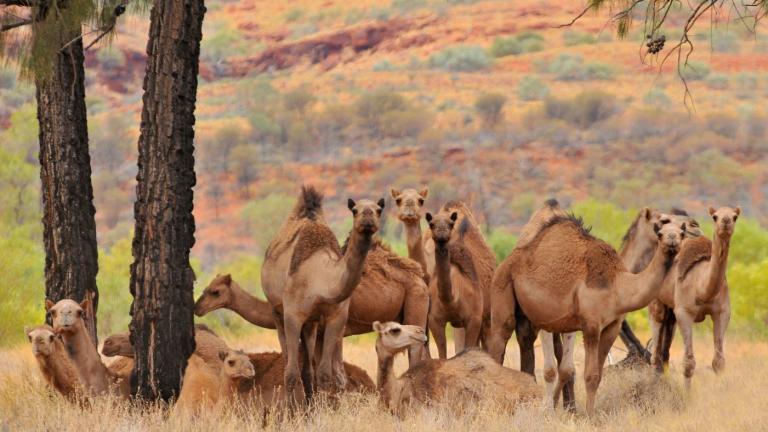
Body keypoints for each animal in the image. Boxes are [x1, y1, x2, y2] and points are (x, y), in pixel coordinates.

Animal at [260, 186, 384, 404]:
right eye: (355, 210)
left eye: (379, 210)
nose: (368, 219)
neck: (320, 279)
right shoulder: (292, 315)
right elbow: (290, 372)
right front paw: (290, 411)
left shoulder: (336, 317)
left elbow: (325, 373)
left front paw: (321, 409)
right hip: (276, 310)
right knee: (287, 359)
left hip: (312, 323)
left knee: (309, 366)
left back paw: (309, 403)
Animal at [424, 211, 484, 360]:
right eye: (431, 224)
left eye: (451, 224)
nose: (441, 231)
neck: (451, 299)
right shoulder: (434, 320)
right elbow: (442, 353)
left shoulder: (474, 318)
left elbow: (469, 349)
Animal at [486, 216, 684, 416]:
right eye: (660, 233)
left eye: (682, 233)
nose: (672, 240)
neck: (618, 284)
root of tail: (506, 261)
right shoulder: (591, 325)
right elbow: (590, 375)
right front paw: (587, 416)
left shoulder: (612, 326)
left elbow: (597, 375)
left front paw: (581, 412)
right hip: (502, 288)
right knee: (499, 342)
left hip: (528, 317)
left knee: (526, 342)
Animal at [652, 206, 740, 388]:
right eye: (715, 217)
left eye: (735, 216)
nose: (725, 221)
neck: (702, 287)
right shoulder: (684, 312)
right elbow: (688, 362)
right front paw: (687, 394)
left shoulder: (722, 312)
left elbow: (718, 361)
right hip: (657, 303)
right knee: (655, 350)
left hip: (671, 313)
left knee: (664, 352)